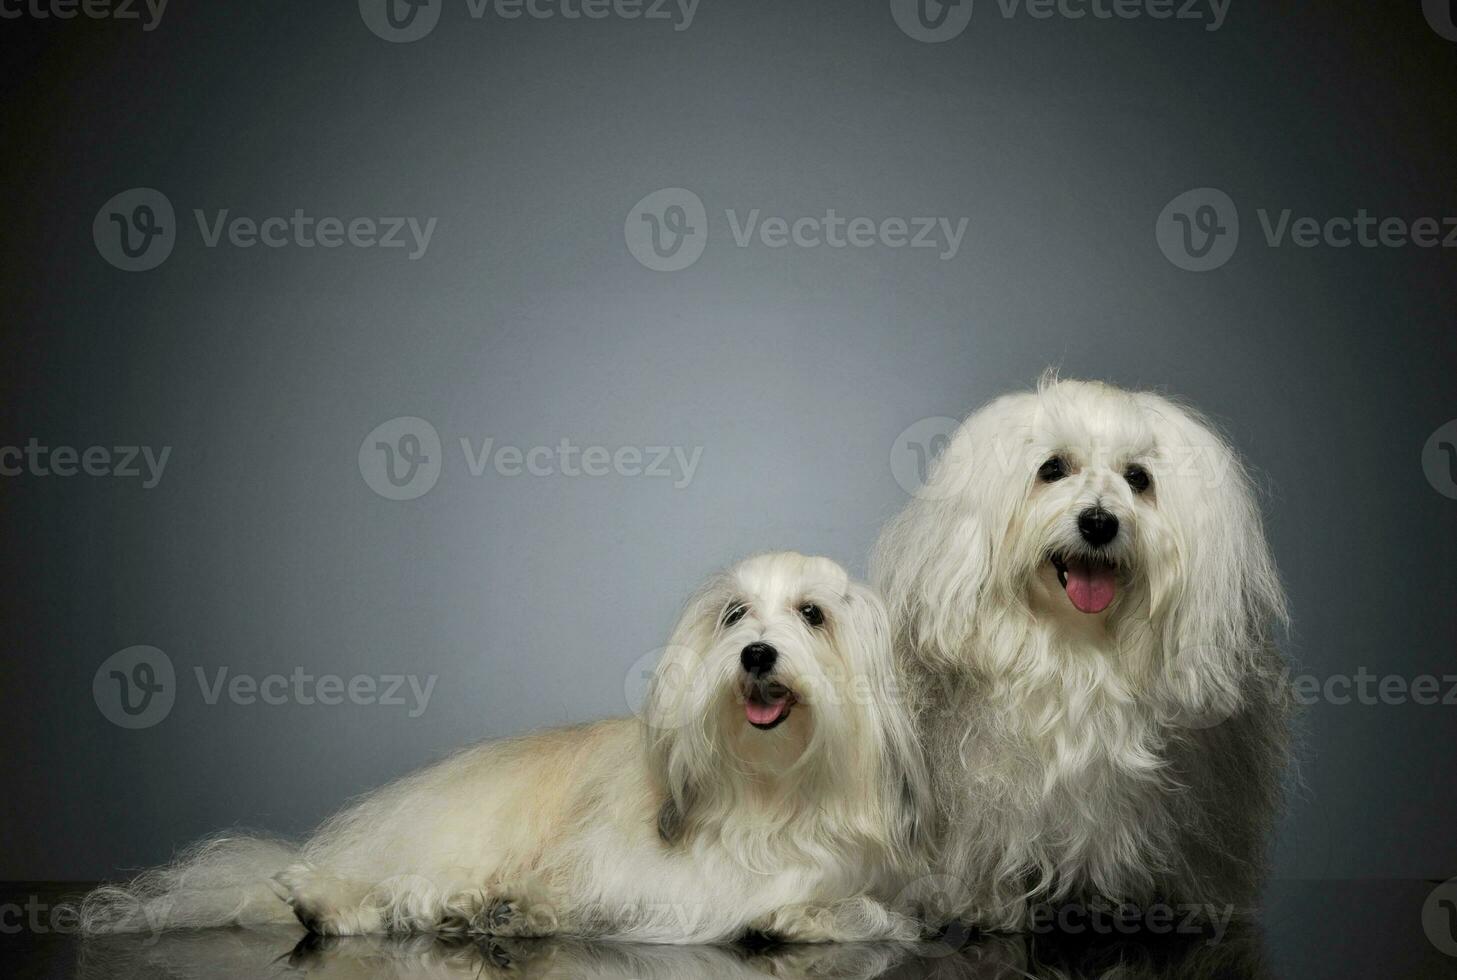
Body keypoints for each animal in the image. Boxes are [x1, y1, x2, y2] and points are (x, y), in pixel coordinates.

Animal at [79, 550, 926, 937]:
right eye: (735, 615)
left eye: (811, 614)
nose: (754, 654)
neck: (766, 791)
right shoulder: (635, 872)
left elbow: (860, 911)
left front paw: (799, 917)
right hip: (443, 838)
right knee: (381, 887)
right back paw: (340, 901)